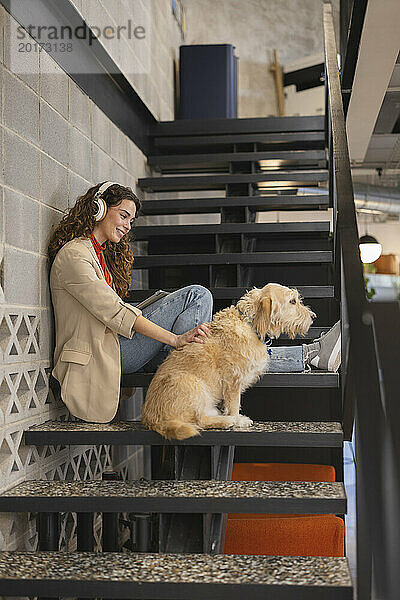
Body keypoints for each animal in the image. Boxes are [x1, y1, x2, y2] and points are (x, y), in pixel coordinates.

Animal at [141, 284, 316, 438]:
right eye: (292, 301)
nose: (313, 317)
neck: (248, 323)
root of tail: (151, 420)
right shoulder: (233, 379)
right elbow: (234, 404)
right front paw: (238, 419)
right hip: (191, 383)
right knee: (199, 421)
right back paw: (227, 421)